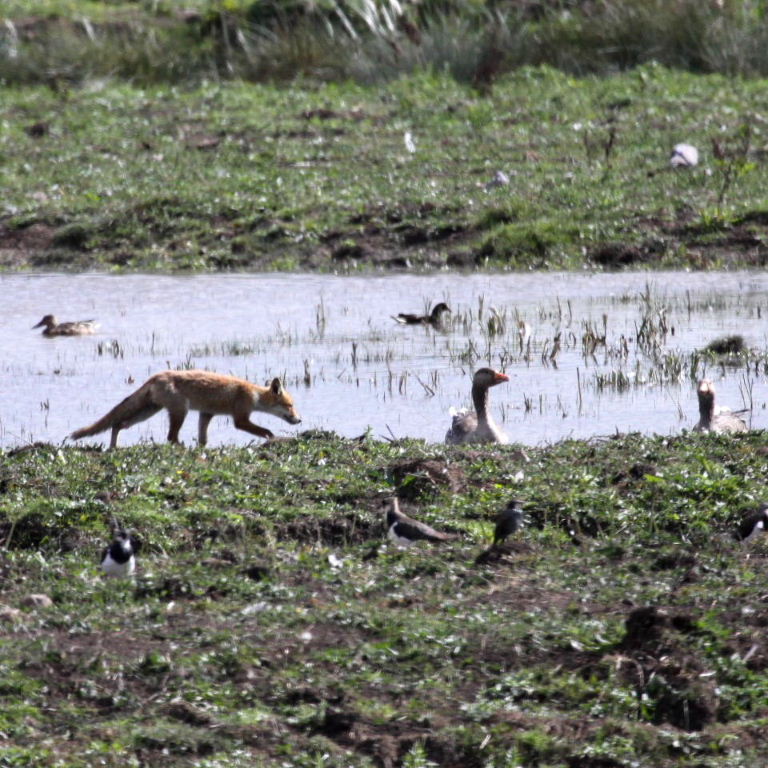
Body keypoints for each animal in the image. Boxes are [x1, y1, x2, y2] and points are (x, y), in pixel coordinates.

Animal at [70, 369, 301, 448]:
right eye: (290, 406)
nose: (299, 420)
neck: (253, 395)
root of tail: (156, 376)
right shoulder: (240, 419)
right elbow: (266, 431)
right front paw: (273, 438)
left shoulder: (206, 413)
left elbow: (203, 439)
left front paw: (202, 450)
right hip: (180, 412)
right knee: (171, 437)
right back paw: (181, 448)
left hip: (148, 412)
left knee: (117, 423)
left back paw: (113, 447)